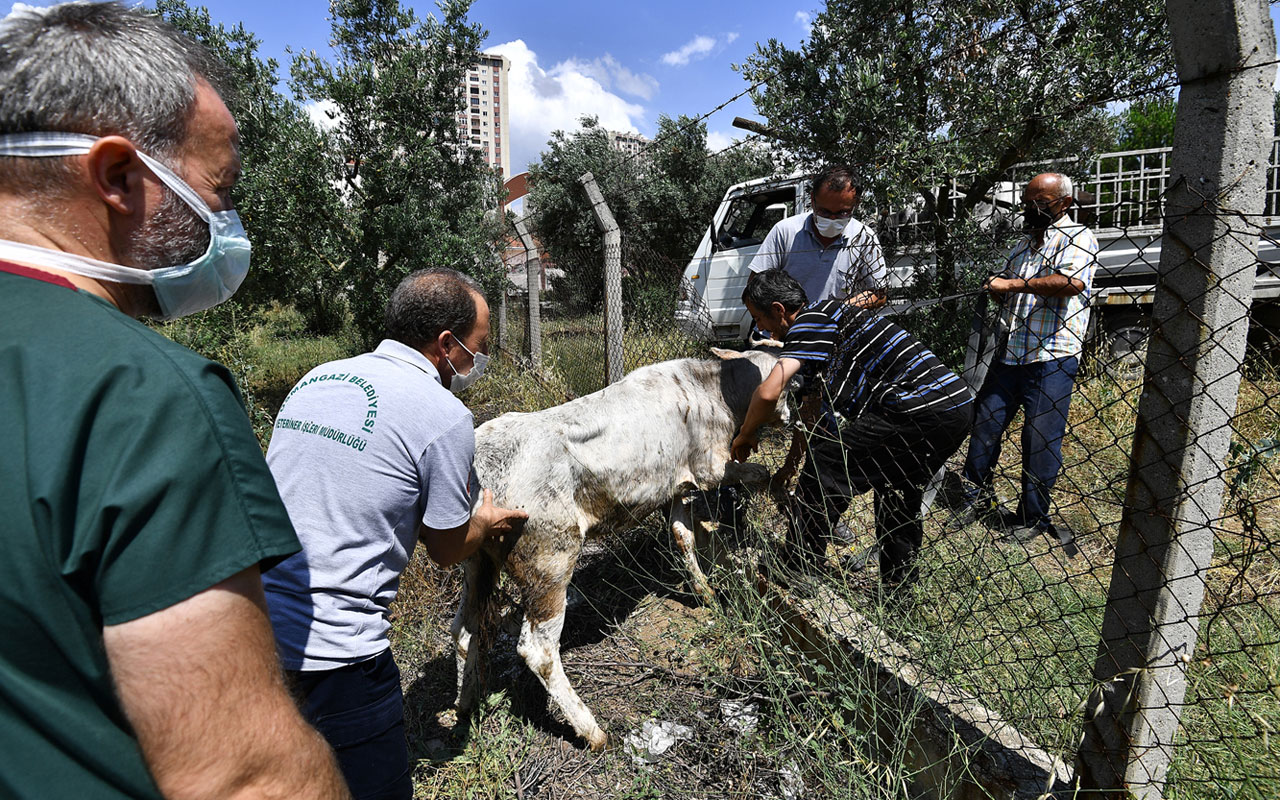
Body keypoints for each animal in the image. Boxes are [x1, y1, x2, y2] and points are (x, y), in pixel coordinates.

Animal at [450, 348, 788, 747]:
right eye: (790, 384)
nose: (792, 414)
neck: (713, 388)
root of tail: (482, 464)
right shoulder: (709, 467)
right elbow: (758, 473)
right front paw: (774, 489)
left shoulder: (675, 483)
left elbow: (682, 535)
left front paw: (703, 591)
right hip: (550, 555)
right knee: (538, 650)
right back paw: (591, 730)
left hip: (478, 560)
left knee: (463, 631)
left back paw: (464, 703)